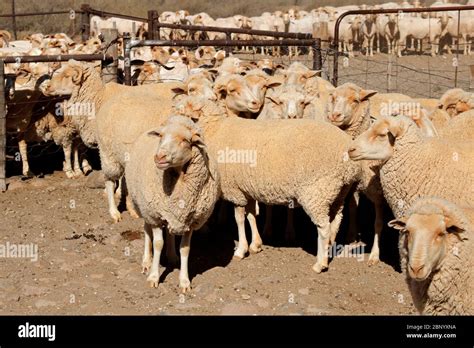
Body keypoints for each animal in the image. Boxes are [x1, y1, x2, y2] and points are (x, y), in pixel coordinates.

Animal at [125, 115, 219, 290]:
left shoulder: (191, 220)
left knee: (169, 232)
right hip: (144, 207)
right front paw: (154, 277)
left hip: (169, 213)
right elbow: (157, 244)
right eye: (161, 136)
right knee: (146, 230)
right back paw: (146, 261)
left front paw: (184, 281)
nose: (159, 157)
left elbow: (185, 249)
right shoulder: (154, 215)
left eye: (185, 140)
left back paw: (172, 256)